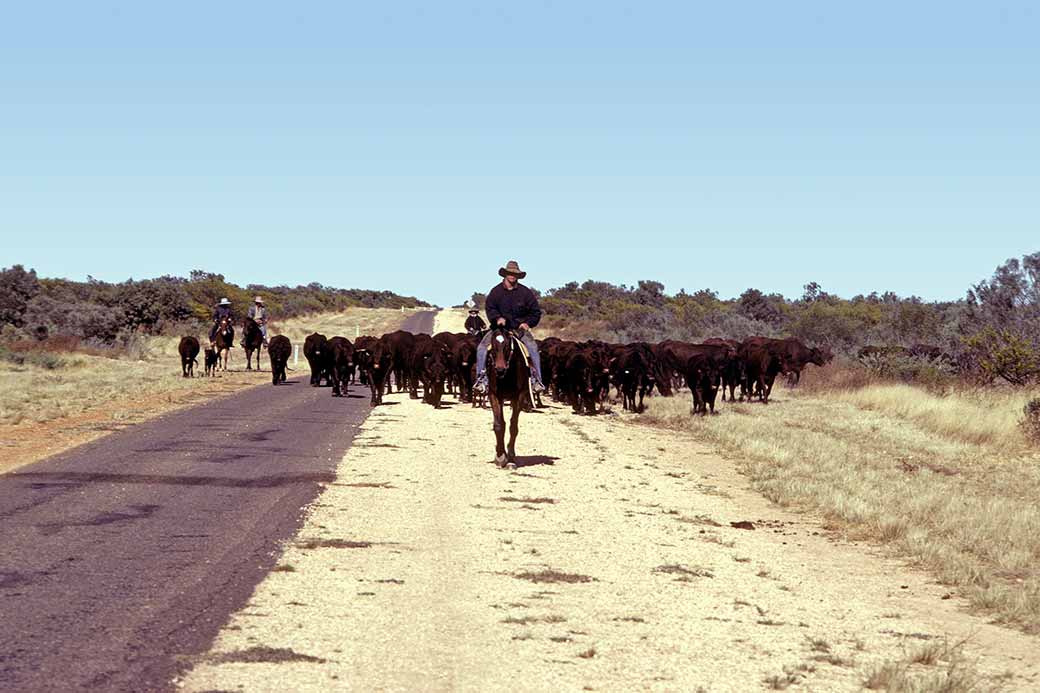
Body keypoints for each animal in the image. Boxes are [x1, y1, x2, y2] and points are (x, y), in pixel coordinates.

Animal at [484, 326, 532, 466]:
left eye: (506, 346)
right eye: (493, 346)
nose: (500, 369)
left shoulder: (519, 397)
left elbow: (513, 426)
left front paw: (510, 457)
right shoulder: (494, 395)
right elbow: (499, 425)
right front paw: (500, 456)